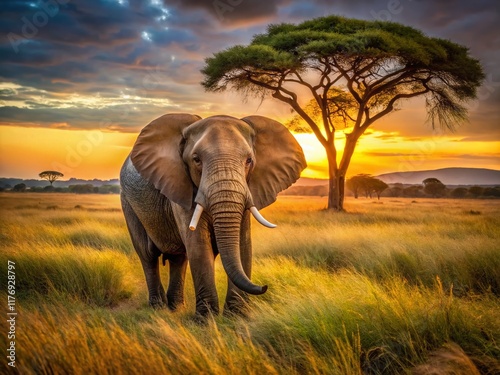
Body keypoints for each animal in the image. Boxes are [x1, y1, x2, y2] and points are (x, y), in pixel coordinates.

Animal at [121, 114, 306, 318]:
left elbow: (243, 244)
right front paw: (206, 319)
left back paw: (175, 308)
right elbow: (199, 245)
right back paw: (158, 307)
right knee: (148, 255)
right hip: (128, 202)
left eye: (249, 160)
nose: (264, 286)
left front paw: (236, 316)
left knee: (179, 257)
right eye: (196, 160)